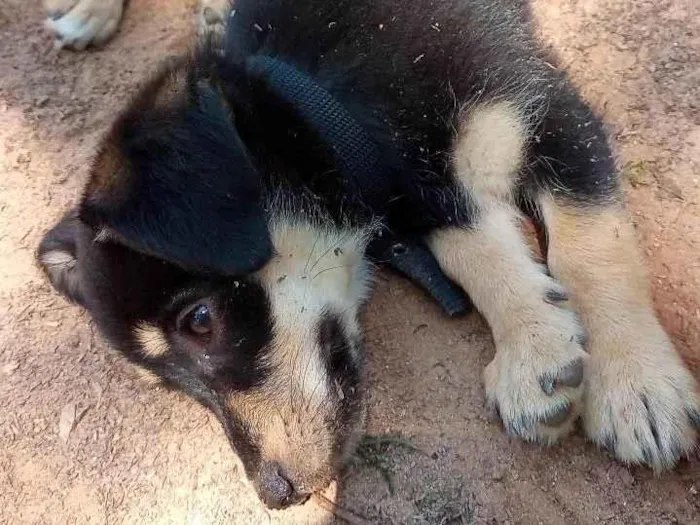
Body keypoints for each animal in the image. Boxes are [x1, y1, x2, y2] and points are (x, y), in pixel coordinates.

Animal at [39, 0, 700, 510]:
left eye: (199, 320)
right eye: (166, 382)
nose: (275, 494)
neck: (324, 91)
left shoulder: (548, 112)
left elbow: (591, 246)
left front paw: (636, 384)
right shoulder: (424, 187)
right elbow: (468, 246)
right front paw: (534, 344)